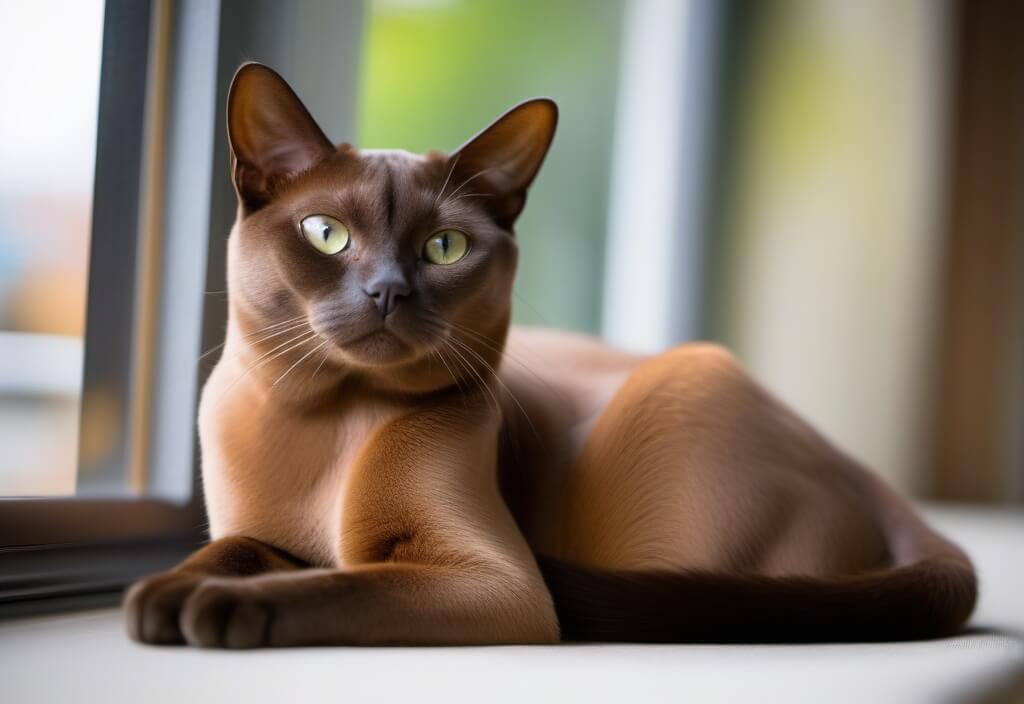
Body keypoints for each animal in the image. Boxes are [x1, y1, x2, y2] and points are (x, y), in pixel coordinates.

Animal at [125, 63, 974, 646]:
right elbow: (231, 549)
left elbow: (337, 586)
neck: (335, 420)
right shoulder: (260, 532)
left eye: (444, 247)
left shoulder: (492, 581)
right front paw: (163, 596)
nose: (388, 291)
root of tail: (865, 471)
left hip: (678, 390)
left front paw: (218, 610)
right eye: (326, 234)